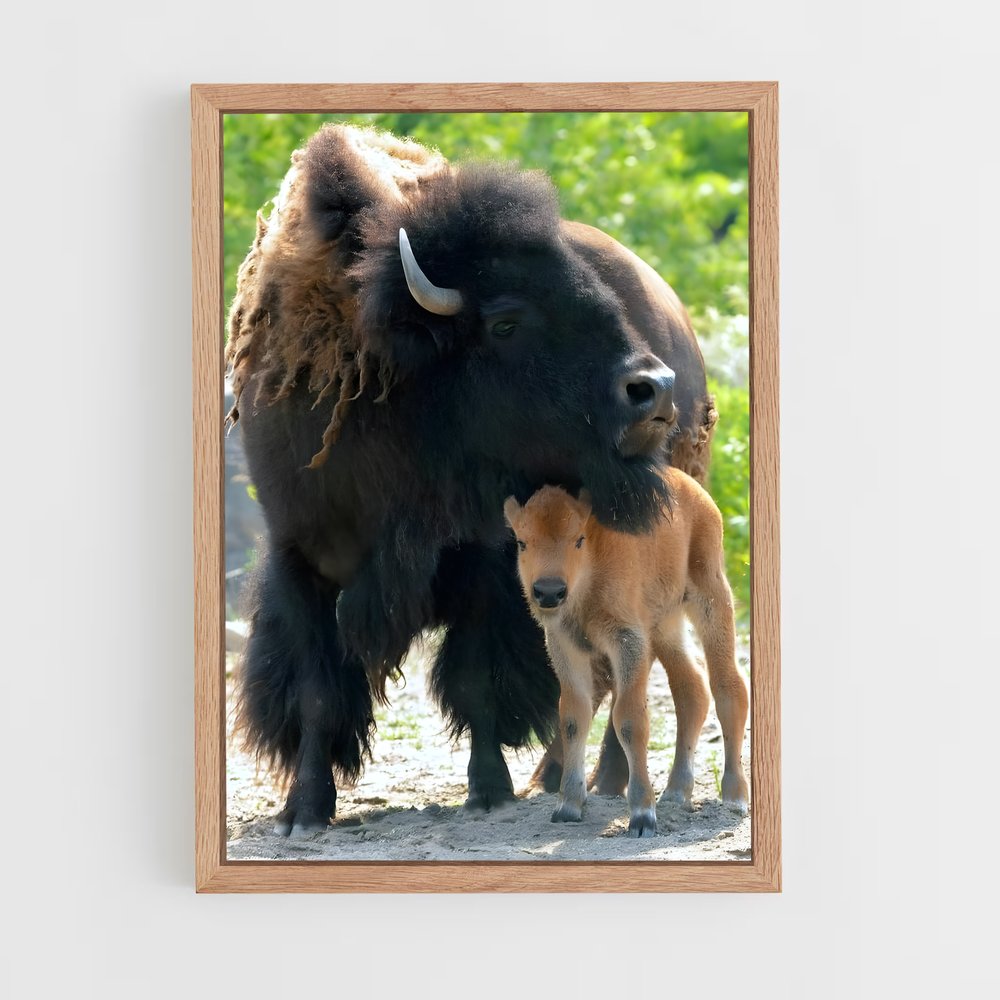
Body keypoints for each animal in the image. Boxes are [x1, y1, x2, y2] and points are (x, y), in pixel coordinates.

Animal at [226, 124, 717, 835]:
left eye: (591, 293)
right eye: (505, 321)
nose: (653, 390)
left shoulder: (490, 558)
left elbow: (480, 679)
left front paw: (489, 791)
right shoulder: (302, 559)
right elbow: (319, 693)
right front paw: (304, 811)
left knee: (624, 663)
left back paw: (598, 781)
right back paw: (559, 780)